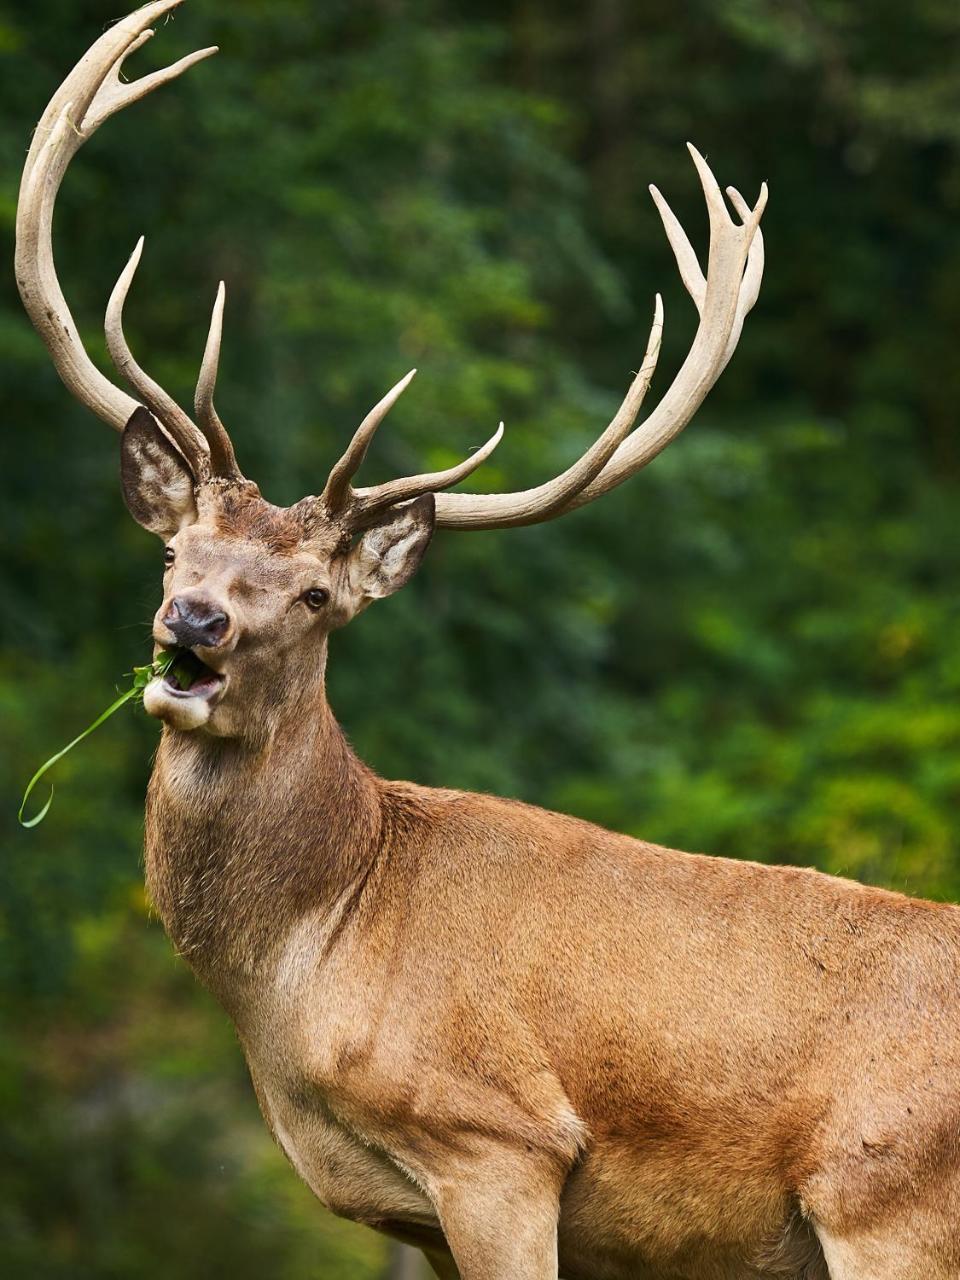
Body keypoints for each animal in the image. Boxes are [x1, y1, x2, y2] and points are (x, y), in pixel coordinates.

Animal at [13, 2, 960, 1280]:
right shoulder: (417, 1213)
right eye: (173, 556)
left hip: (887, 1199)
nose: (194, 622)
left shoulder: (498, 1142)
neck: (317, 952)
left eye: (316, 593)